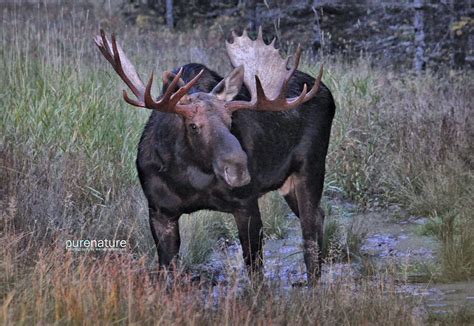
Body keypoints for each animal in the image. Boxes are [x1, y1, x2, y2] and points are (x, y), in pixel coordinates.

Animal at [94, 28, 336, 282]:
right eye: (193, 126)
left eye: (230, 121)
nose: (239, 170)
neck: (191, 179)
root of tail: (326, 92)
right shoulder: (160, 211)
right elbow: (167, 273)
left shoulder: (246, 203)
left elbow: (256, 273)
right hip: (287, 183)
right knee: (318, 216)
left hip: (311, 167)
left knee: (309, 231)